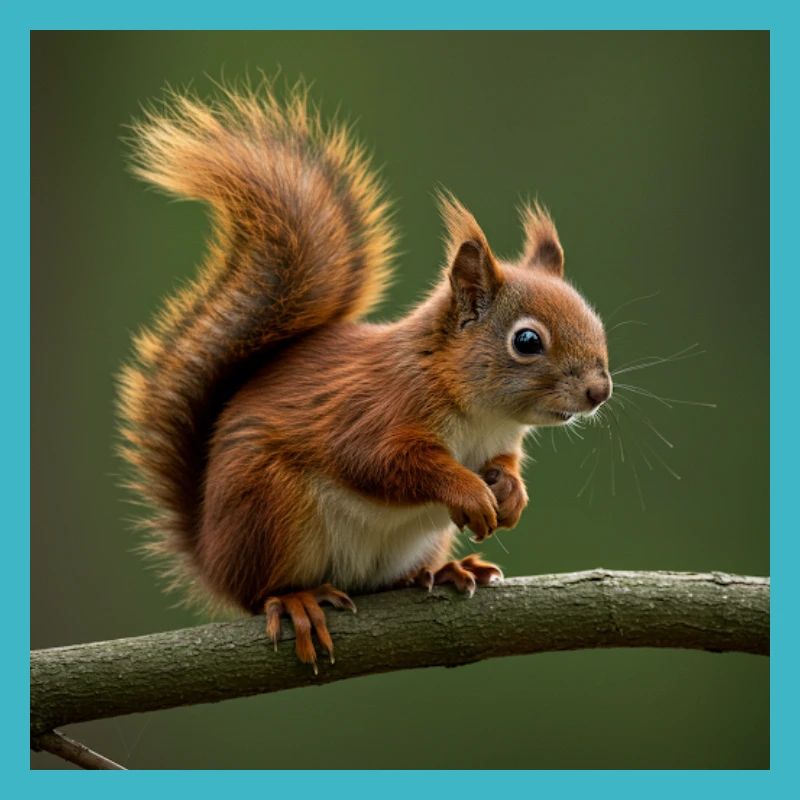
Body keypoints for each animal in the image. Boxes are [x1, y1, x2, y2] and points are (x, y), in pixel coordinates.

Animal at [118, 84, 612, 671]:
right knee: (260, 591)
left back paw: (442, 571)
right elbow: (384, 463)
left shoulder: (499, 442)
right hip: (270, 508)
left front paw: (511, 493)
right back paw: (296, 600)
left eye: (598, 323)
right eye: (528, 341)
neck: (480, 413)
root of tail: (211, 555)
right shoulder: (375, 411)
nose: (599, 391)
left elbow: (504, 465)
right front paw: (467, 490)